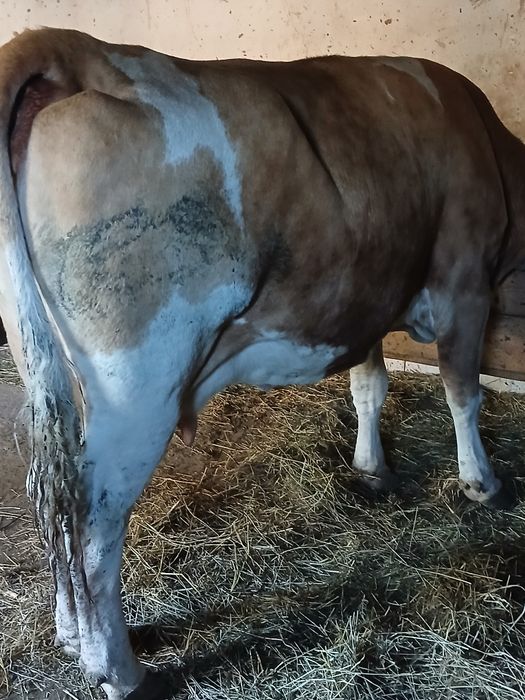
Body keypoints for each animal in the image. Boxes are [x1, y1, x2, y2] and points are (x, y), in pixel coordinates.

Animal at [0, 26, 523, 699]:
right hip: (135, 389)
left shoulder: (365, 294)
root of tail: (71, 47)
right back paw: (120, 671)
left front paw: (372, 468)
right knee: (93, 519)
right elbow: (463, 390)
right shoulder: (464, 280)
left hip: (57, 376)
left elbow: (369, 386)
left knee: (57, 501)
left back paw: (70, 634)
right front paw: (481, 483)